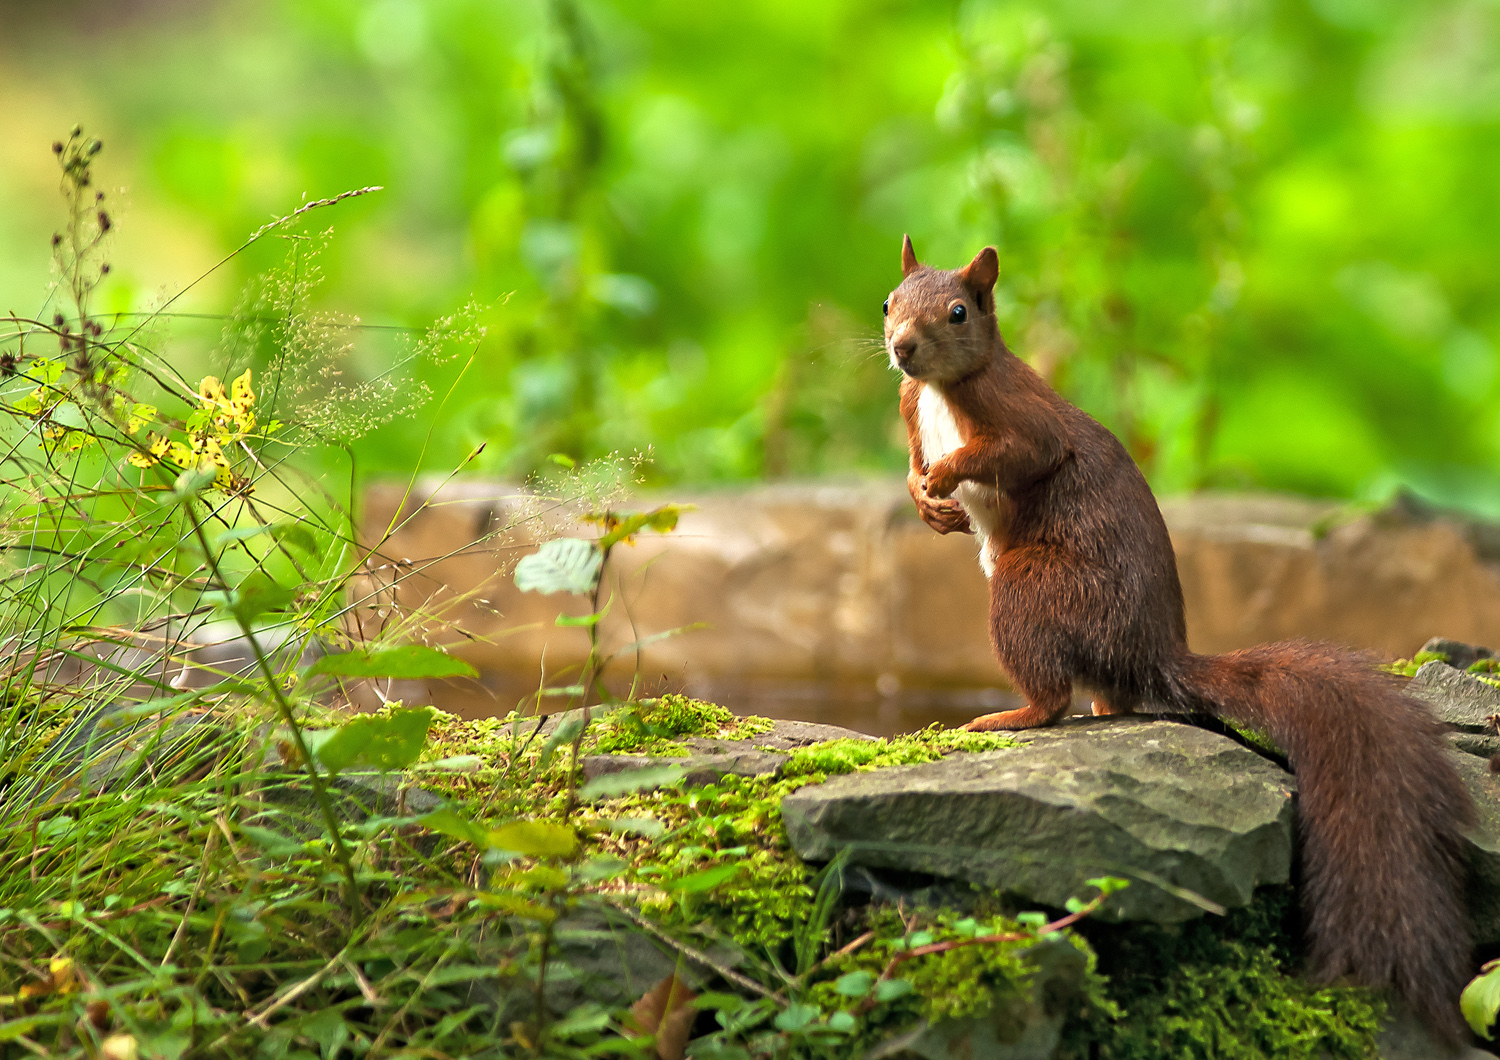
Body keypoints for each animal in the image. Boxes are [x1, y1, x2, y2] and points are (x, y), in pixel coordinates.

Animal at [888, 238, 1476, 1043]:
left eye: (957, 312)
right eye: (889, 301)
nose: (899, 348)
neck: (943, 389)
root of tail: (1152, 652)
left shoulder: (1018, 415)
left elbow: (1026, 450)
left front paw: (945, 476)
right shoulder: (911, 407)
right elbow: (914, 455)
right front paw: (924, 497)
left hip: (1032, 590)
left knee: (1053, 697)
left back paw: (1008, 716)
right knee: (1101, 696)